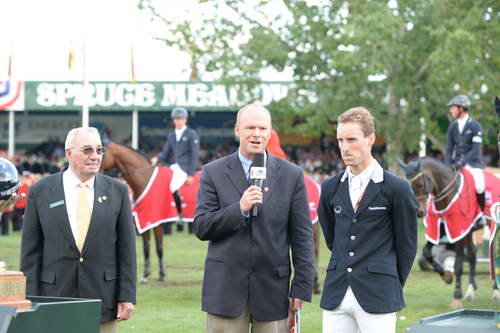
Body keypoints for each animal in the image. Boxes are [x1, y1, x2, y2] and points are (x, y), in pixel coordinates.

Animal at [100, 140, 167, 282]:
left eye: (102, 152)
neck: (144, 180)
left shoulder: (157, 222)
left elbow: (159, 247)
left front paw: (162, 275)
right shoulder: (144, 220)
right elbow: (146, 246)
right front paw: (146, 274)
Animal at [398, 157, 500, 308]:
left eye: (420, 184)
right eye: (408, 184)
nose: (418, 212)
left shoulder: (458, 232)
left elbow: (457, 264)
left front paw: (456, 295)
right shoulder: (442, 230)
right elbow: (427, 252)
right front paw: (446, 276)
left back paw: (495, 292)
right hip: (469, 232)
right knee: (472, 255)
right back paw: (471, 291)